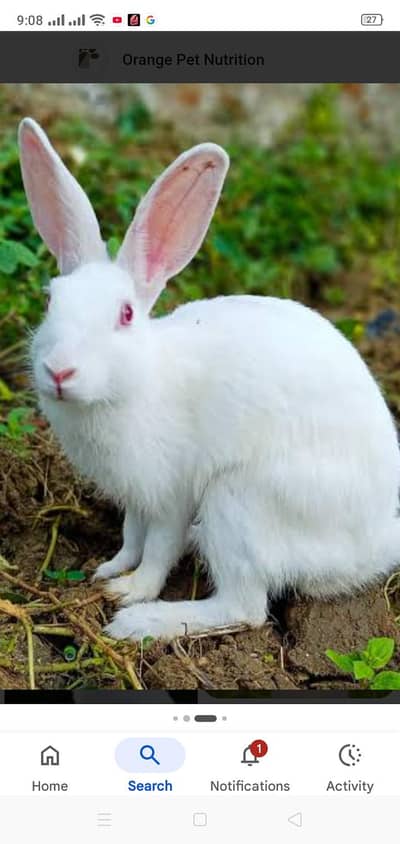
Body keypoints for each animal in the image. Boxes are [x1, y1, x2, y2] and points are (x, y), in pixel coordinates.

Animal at [19, 117, 400, 642]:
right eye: (51, 300)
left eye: (126, 314)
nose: (59, 370)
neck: (136, 383)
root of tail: (375, 545)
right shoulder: (137, 498)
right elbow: (131, 536)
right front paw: (110, 569)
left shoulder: (170, 494)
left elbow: (158, 550)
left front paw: (131, 592)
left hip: (239, 503)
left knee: (244, 607)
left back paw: (142, 624)